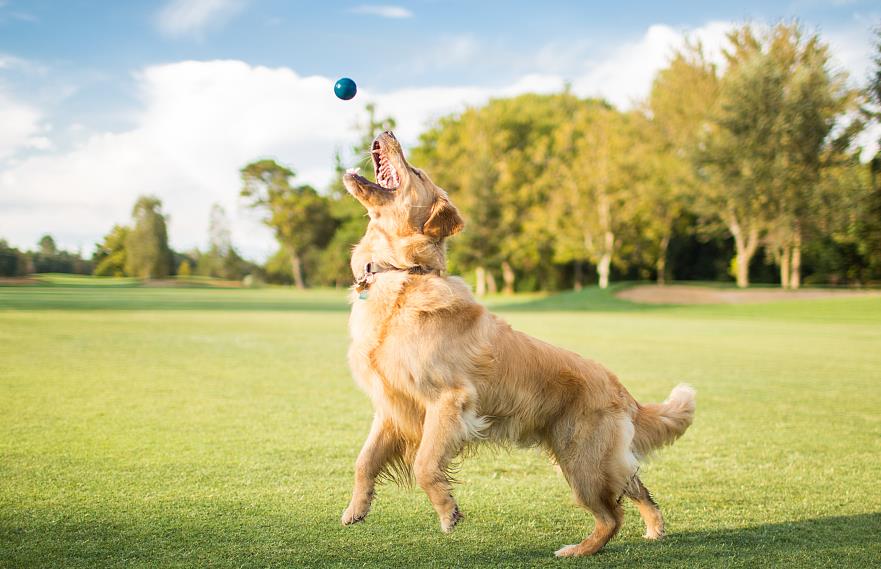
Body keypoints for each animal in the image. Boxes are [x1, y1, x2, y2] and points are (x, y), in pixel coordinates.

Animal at [340, 130, 692, 556]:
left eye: (417, 172)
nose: (389, 132)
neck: (404, 274)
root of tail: (623, 391)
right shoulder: (392, 406)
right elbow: (364, 461)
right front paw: (356, 509)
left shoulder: (449, 401)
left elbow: (425, 464)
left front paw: (447, 511)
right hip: (596, 460)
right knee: (636, 487)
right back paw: (654, 529)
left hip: (582, 462)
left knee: (612, 516)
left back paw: (578, 550)